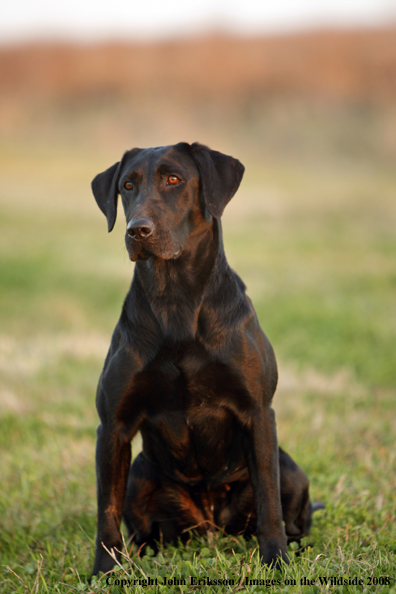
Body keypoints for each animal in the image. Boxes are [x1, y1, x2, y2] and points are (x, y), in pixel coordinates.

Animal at [89, 142, 312, 572]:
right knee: (144, 528)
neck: (176, 299)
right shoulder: (113, 426)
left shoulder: (258, 413)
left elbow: (269, 502)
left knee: (289, 511)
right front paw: (105, 572)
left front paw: (274, 560)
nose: (137, 230)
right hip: (141, 475)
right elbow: (106, 509)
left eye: (174, 179)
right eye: (127, 186)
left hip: (291, 470)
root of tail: (211, 521)